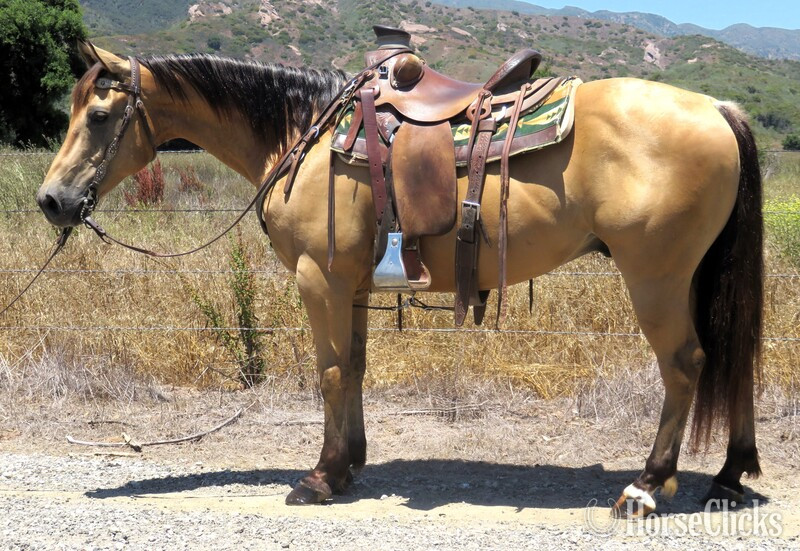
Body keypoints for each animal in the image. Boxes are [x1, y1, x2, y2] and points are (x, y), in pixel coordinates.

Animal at [37, 41, 763, 515]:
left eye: (98, 116)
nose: (51, 200)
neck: (305, 135)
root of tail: (717, 107)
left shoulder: (321, 279)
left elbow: (330, 372)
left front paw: (320, 477)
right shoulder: (352, 284)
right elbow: (354, 367)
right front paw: (350, 462)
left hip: (656, 277)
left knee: (685, 364)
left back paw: (646, 486)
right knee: (734, 358)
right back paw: (729, 476)